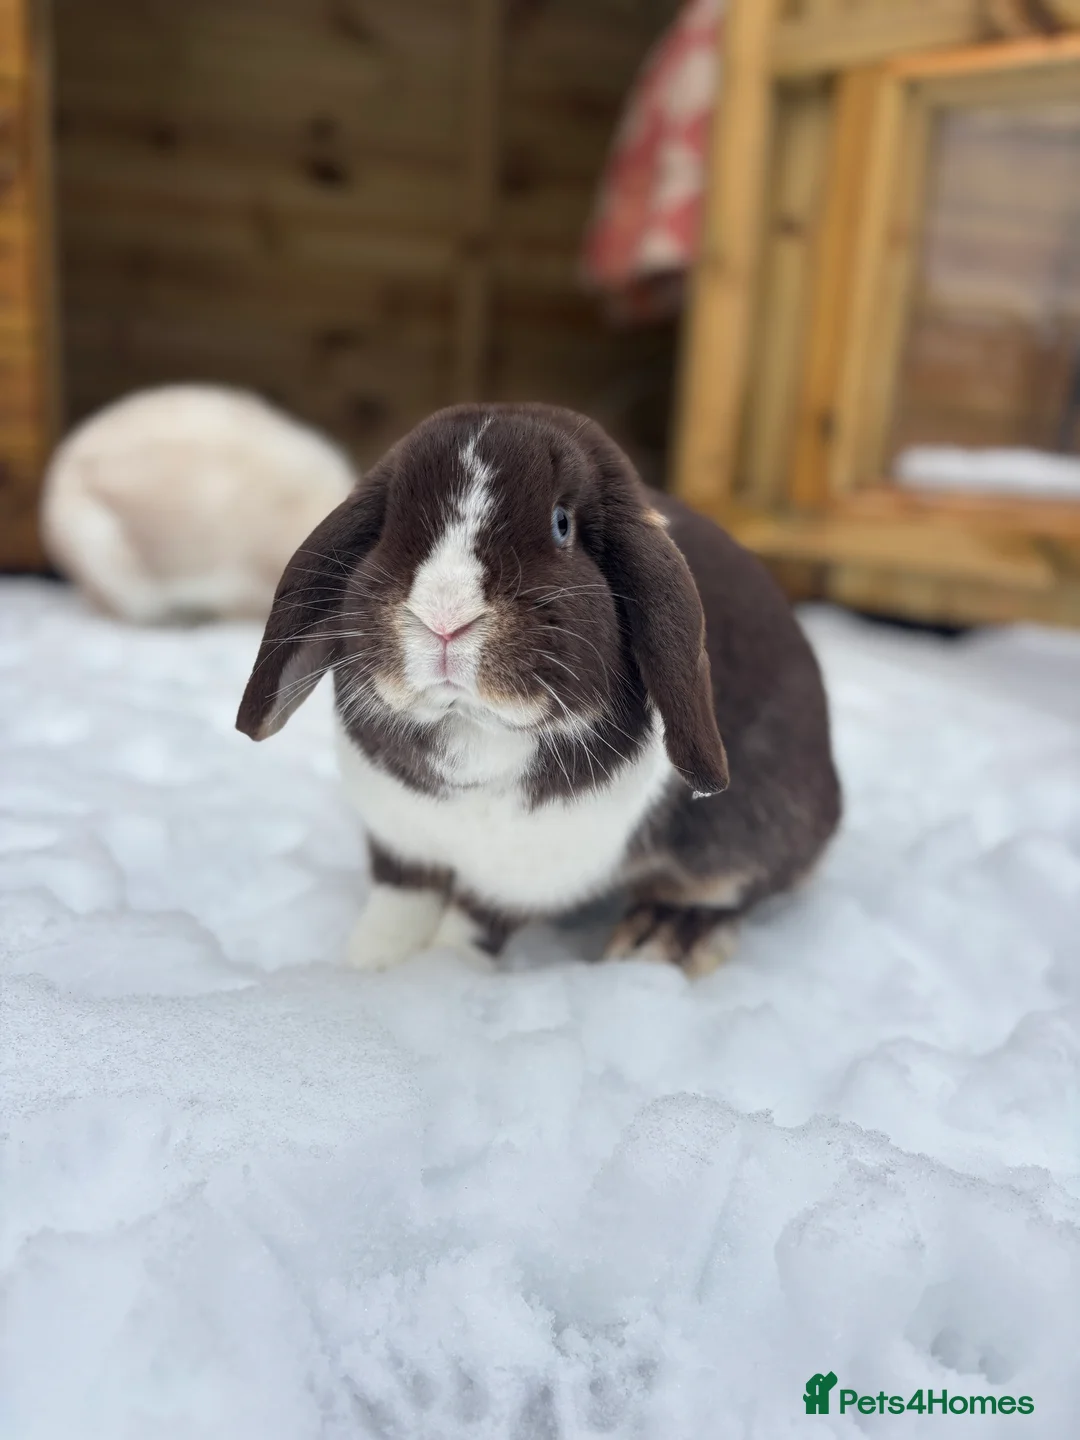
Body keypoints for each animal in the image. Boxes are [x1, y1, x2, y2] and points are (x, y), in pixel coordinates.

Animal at [237, 403, 841, 976]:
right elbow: (399, 904)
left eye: (561, 524)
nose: (444, 617)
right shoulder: (404, 842)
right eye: (388, 524)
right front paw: (371, 966)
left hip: (746, 832)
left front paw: (438, 975)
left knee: (728, 890)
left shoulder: (521, 872)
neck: (471, 728)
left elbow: (472, 921)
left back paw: (657, 939)